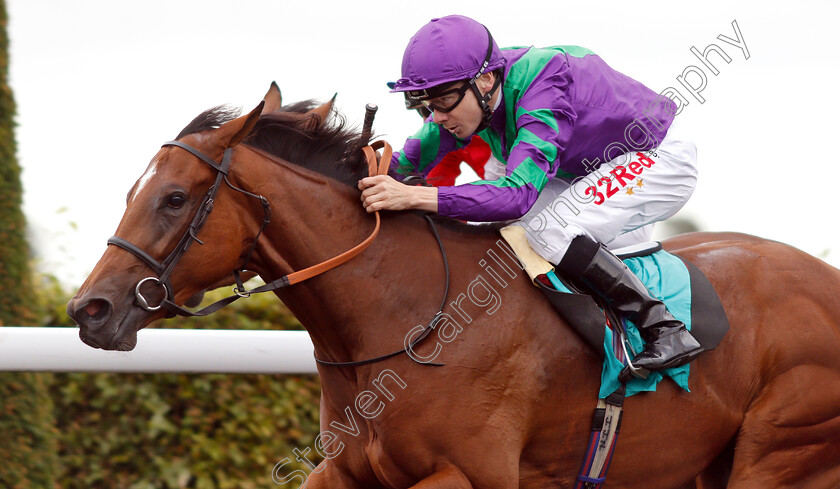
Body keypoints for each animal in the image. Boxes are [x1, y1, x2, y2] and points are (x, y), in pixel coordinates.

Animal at [67, 88, 840, 488]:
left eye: (173, 199)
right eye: (135, 192)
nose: (89, 309)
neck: (404, 316)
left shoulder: (471, 475)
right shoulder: (346, 473)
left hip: (784, 448)